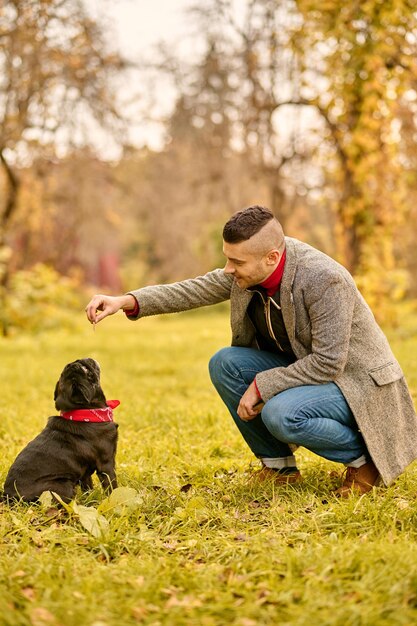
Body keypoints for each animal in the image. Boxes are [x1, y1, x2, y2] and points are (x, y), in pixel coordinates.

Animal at [2, 358, 118, 500]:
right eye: (86, 371)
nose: (84, 359)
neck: (85, 414)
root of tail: (9, 497)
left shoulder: (84, 474)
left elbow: (87, 488)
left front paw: (91, 501)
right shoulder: (106, 465)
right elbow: (112, 487)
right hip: (62, 485)